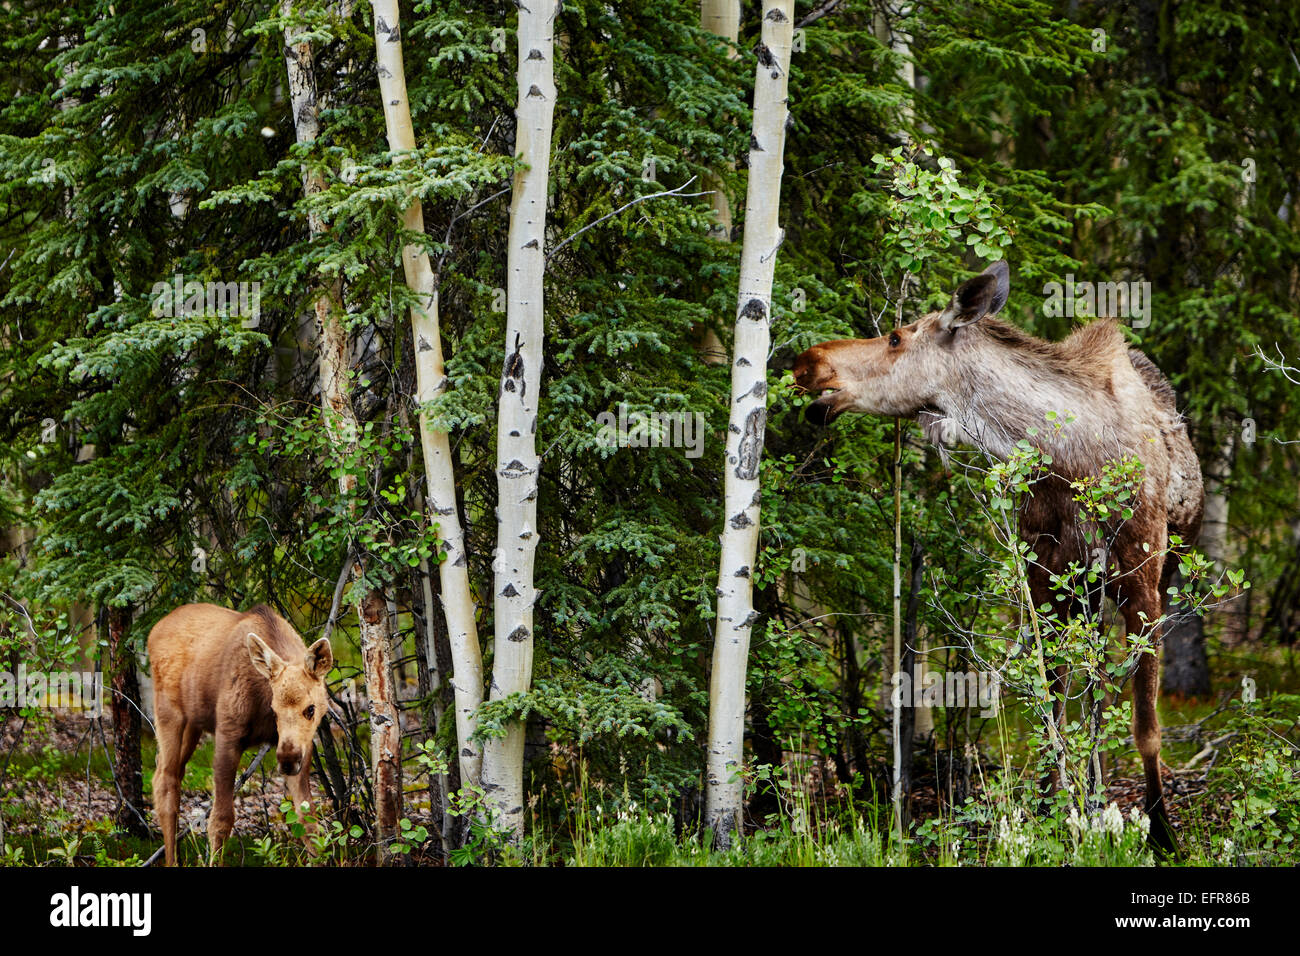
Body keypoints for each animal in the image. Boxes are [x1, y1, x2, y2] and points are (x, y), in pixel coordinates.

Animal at [147, 606, 332, 868]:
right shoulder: (228, 735)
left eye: (310, 709)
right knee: (166, 780)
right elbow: (221, 820)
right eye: (274, 709)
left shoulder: (303, 750)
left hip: (194, 723)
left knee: (164, 773)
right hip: (168, 713)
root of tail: (153, 631)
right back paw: (172, 861)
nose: (287, 760)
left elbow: (309, 822)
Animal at [790, 257, 1206, 848]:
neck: (1067, 458)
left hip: (1151, 574)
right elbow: (1051, 709)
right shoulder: (1046, 578)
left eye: (896, 337)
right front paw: (1055, 812)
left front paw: (1161, 831)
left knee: (1104, 691)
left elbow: (1145, 726)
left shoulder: (1142, 577)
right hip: (1085, 594)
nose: (807, 361)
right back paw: (1092, 797)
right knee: (1093, 688)